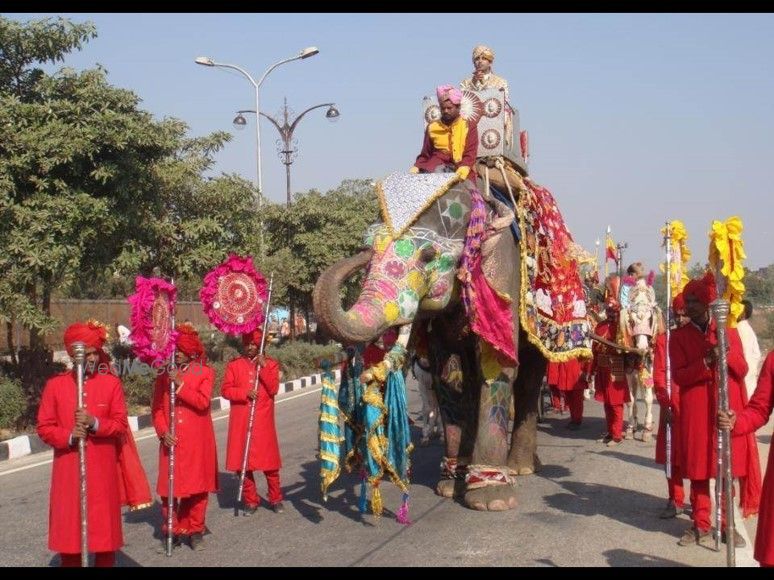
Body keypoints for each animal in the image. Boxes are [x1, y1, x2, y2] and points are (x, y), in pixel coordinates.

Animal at [312, 169, 592, 512]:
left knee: (528, 379)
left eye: (428, 255)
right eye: (367, 247)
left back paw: (520, 468)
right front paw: (449, 486)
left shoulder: (501, 273)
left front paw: (490, 500)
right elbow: (449, 376)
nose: (360, 253)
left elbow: (497, 368)